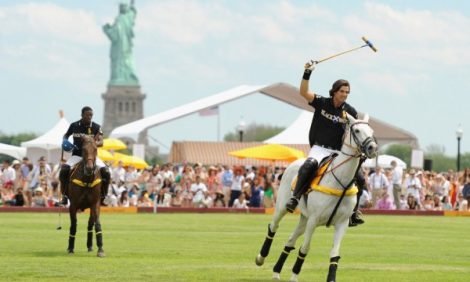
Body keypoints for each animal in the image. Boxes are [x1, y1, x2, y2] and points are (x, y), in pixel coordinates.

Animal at [255, 113, 376, 282]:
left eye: (371, 131)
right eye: (357, 130)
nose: (373, 148)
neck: (341, 181)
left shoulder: (342, 223)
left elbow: (335, 254)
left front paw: (331, 278)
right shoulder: (314, 219)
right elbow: (305, 248)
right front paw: (294, 276)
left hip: (304, 218)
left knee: (290, 240)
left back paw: (276, 271)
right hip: (282, 207)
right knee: (273, 226)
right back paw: (261, 258)